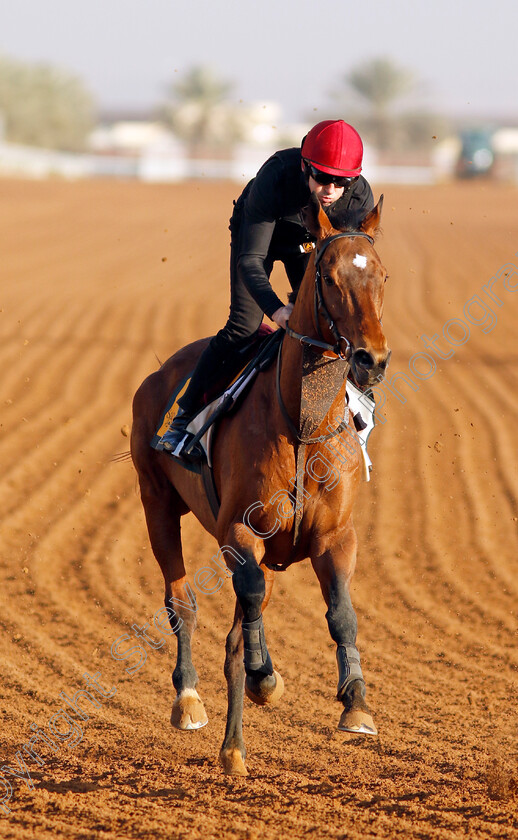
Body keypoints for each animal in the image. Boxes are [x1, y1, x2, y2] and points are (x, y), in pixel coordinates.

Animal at [132, 190, 392, 776]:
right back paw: (191, 699)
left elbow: (342, 614)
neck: (301, 426)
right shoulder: (238, 530)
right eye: (329, 277)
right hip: (156, 502)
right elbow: (242, 608)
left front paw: (356, 704)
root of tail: (158, 374)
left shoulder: (335, 537)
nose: (372, 359)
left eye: (382, 275)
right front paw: (260, 679)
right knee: (183, 601)